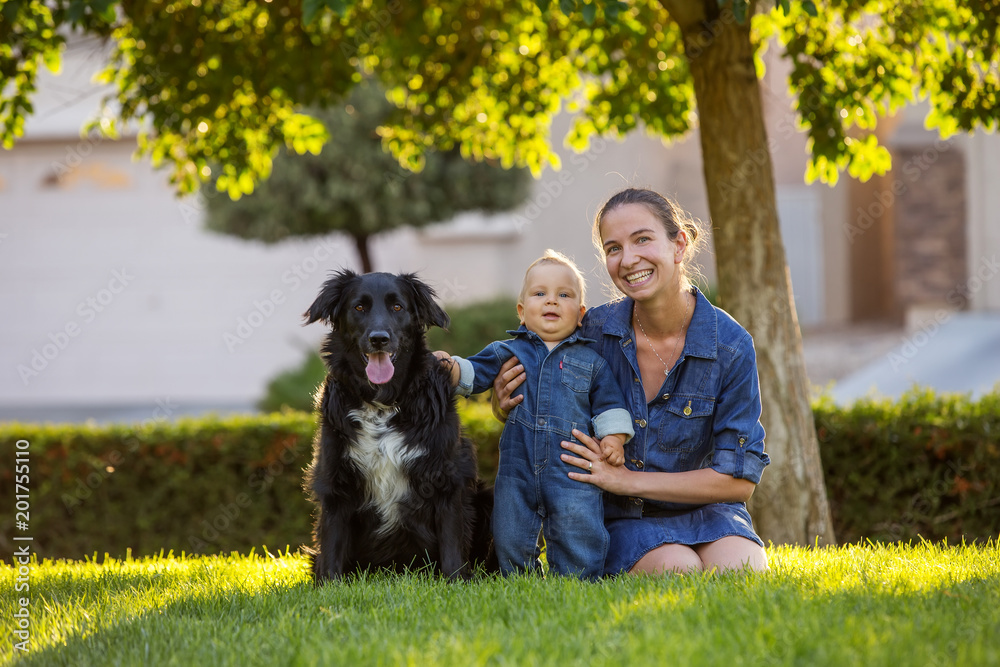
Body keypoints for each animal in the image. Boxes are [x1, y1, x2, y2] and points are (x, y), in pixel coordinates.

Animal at [302, 268, 494, 580]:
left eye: (397, 307)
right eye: (359, 307)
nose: (379, 338)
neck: (384, 405)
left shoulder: (447, 476)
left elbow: (452, 541)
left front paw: (456, 581)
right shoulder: (335, 480)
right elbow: (331, 543)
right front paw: (329, 584)